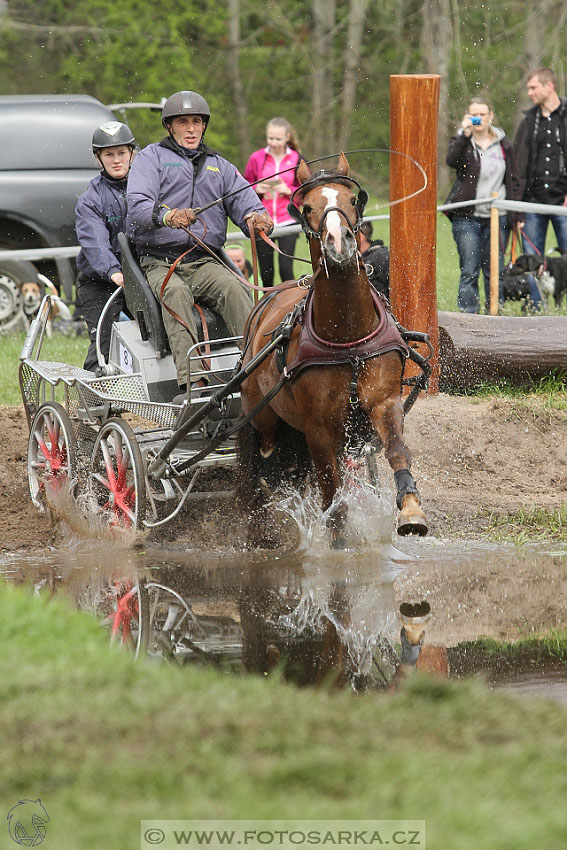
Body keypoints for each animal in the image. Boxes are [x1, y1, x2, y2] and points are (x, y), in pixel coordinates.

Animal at [237, 152, 428, 548]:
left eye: (353, 199)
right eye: (307, 207)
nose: (338, 242)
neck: (347, 339)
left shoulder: (384, 402)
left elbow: (397, 451)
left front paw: (411, 510)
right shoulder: (318, 429)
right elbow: (333, 501)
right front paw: (339, 546)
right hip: (263, 418)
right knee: (264, 465)